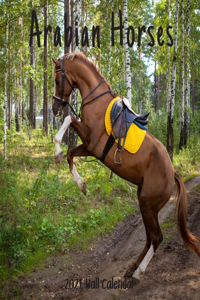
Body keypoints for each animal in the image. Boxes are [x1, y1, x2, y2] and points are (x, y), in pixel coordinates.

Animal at [52, 52, 200, 282]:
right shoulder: (90, 148)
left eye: (58, 81)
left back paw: (139, 272)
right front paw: (81, 185)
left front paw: (57, 148)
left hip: (148, 203)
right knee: (149, 237)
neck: (97, 101)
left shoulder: (91, 140)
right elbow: (70, 155)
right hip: (144, 203)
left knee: (157, 237)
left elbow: (69, 119)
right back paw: (132, 268)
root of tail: (173, 173)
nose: (54, 108)